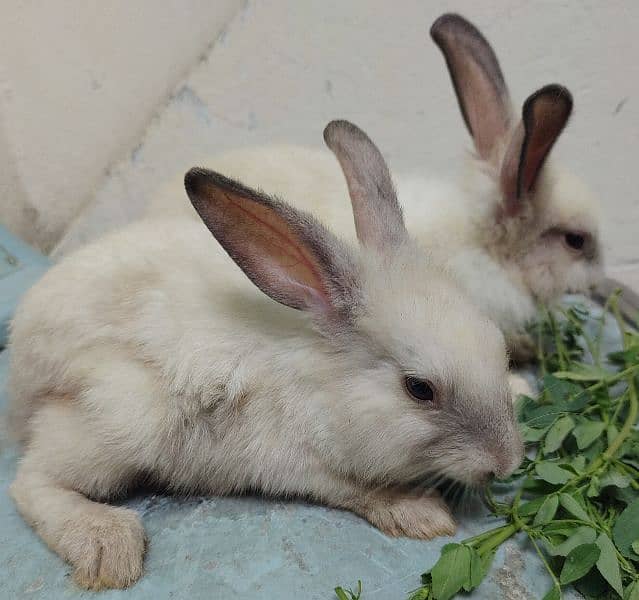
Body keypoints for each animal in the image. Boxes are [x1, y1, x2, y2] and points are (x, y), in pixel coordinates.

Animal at [7, 122, 524, 592]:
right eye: (419, 389)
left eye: (498, 346)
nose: (506, 461)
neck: (325, 382)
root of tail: (23, 360)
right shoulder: (296, 462)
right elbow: (358, 488)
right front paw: (420, 514)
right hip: (121, 420)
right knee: (30, 482)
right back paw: (108, 545)